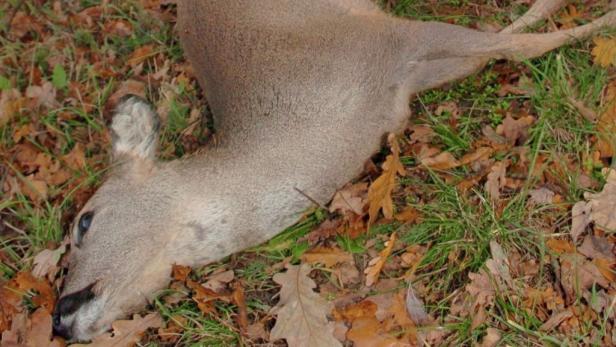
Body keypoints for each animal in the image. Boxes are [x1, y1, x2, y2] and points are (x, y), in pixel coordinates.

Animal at [54, 0, 616, 342]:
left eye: (85, 221)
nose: (59, 317)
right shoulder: (401, 77)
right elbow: (505, 45)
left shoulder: (382, 39)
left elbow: (522, 44)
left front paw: (601, 21)